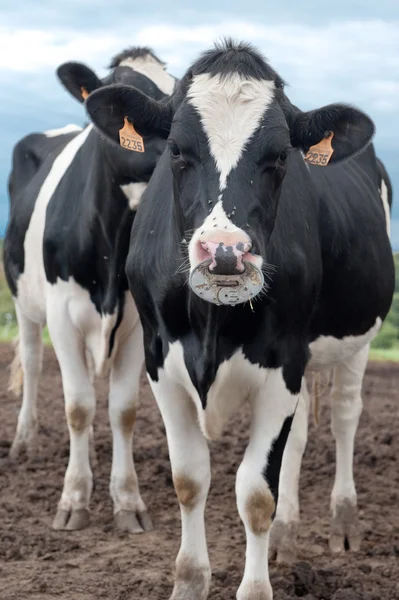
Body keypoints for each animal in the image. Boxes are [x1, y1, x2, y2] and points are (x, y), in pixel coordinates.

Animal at [2, 48, 175, 536]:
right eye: (124, 104)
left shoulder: (136, 324)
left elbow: (123, 409)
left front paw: (127, 501)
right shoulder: (62, 315)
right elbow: (77, 406)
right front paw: (74, 499)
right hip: (25, 304)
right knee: (34, 363)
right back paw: (25, 442)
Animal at [86, 39, 396, 596]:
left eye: (280, 156)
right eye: (175, 150)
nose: (225, 253)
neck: (213, 325)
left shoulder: (282, 364)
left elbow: (255, 493)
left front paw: (255, 587)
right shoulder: (160, 360)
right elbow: (190, 479)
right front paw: (189, 581)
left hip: (355, 340)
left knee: (344, 417)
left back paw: (343, 524)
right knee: (298, 438)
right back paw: (286, 538)